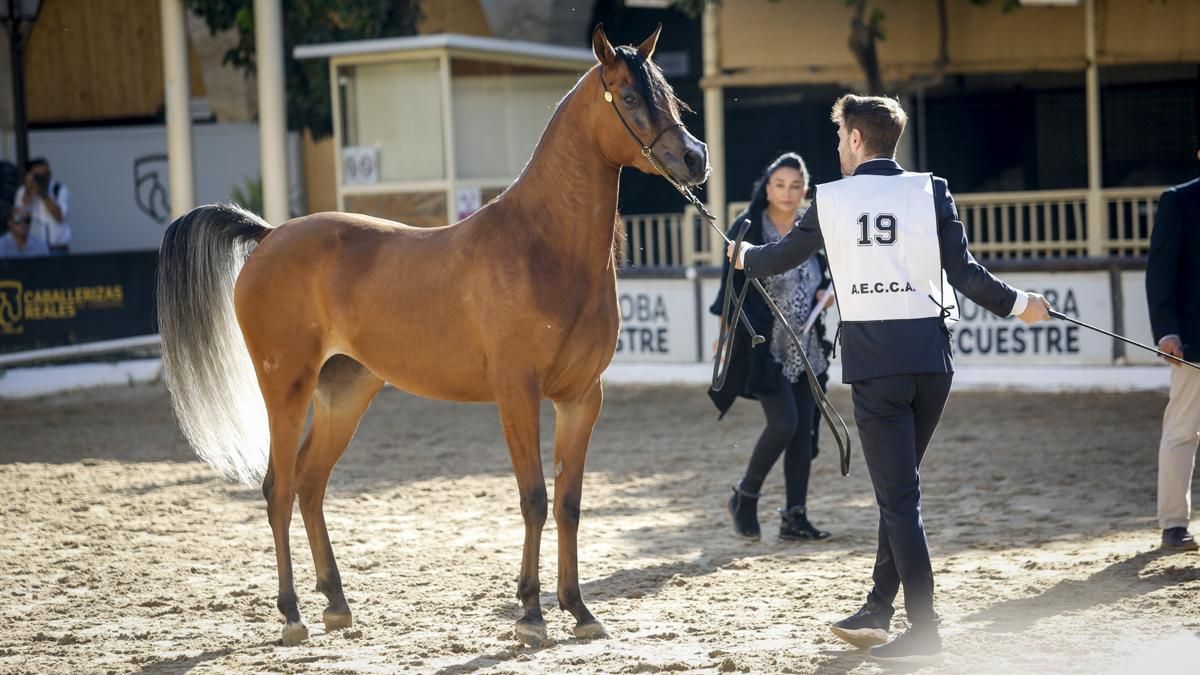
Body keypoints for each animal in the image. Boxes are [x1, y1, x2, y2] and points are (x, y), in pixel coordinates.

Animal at [155, 24, 709, 647]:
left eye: (670, 95)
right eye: (631, 97)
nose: (695, 158)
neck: (542, 248)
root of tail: (269, 234)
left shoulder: (582, 398)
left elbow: (569, 502)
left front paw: (579, 610)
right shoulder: (517, 394)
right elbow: (534, 499)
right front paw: (531, 614)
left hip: (345, 394)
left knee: (310, 484)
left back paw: (337, 604)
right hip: (286, 390)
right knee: (278, 487)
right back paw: (293, 614)